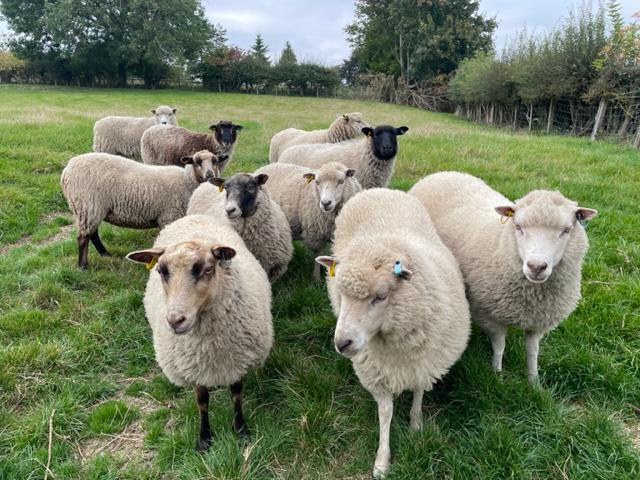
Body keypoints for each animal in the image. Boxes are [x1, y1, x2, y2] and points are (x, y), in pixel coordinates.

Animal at [60, 151, 225, 270]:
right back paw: (83, 266)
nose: (209, 175)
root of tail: (67, 169)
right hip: (87, 205)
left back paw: (105, 253)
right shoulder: (169, 216)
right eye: (197, 161)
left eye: (215, 161)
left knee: (92, 234)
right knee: (83, 237)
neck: (186, 181)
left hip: (90, 208)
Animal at [125, 214, 272, 450]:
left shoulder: (237, 361)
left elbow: (236, 395)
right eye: (161, 271)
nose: (175, 320)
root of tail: (192, 216)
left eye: (208, 269)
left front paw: (240, 430)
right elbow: (202, 401)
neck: (209, 347)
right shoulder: (194, 368)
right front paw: (204, 438)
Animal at [316, 189, 470, 478]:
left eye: (381, 296)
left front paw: (416, 426)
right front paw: (382, 461)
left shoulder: (425, 362)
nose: (342, 343)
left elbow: (419, 392)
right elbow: (385, 412)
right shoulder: (375, 371)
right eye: (340, 292)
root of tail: (376, 190)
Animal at [410, 171, 600, 380]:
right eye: (518, 226)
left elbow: (533, 351)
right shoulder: (490, 315)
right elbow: (500, 347)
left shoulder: (538, 321)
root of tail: (443, 173)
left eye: (566, 230)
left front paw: (533, 380)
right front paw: (497, 375)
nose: (536, 267)